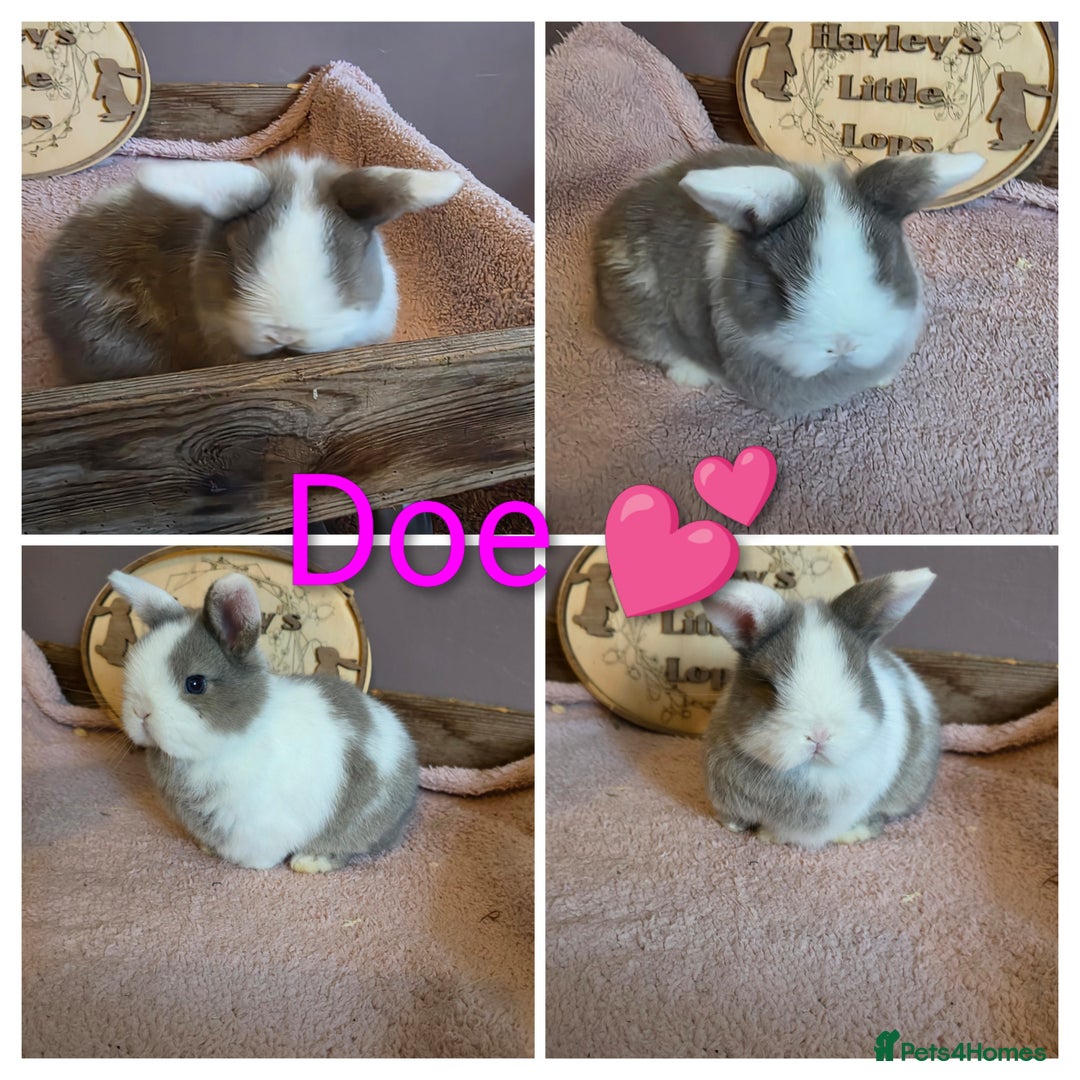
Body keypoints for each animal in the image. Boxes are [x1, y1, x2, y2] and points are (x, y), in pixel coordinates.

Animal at [107, 569, 419, 873]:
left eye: (195, 684)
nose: (141, 712)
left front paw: (250, 865)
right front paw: (207, 848)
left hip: (361, 818)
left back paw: (310, 862)